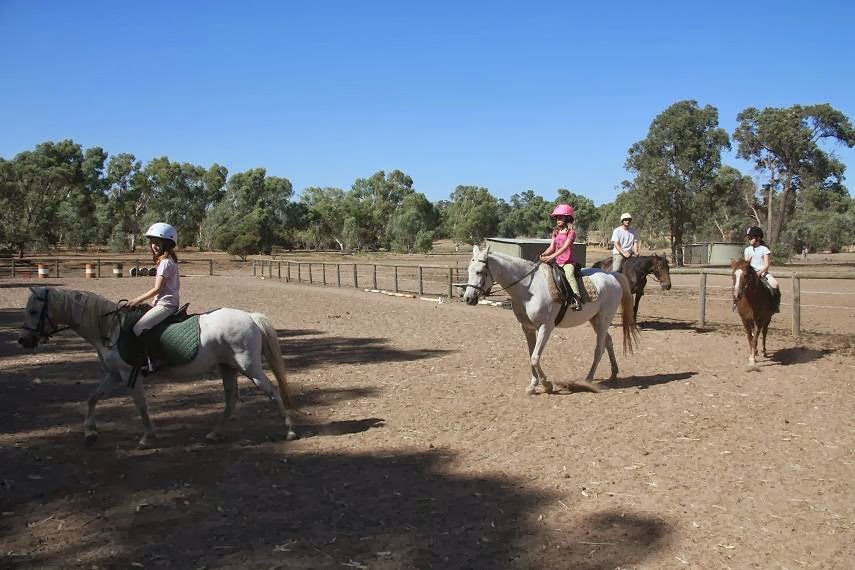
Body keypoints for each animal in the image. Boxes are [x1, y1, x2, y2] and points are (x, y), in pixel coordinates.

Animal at [17, 286, 298, 446]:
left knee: (272, 391)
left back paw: (289, 431)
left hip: (250, 367)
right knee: (231, 400)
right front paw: (90, 432)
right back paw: (214, 434)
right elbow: (92, 398)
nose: (23, 341)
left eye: (33, 311)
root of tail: (250, 316)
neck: (110, 330)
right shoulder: (113, 374)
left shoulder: (129, 375)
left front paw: (146, 437)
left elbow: (141, 405)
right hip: (227, 367)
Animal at [464, 244, 640, 394]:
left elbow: (535, 357)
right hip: (595, 320)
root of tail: (612, 276)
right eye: (469, 270)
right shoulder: (527, 328)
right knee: (608, 342)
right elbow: (531, 355)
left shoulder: (546, 327)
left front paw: (546, 385)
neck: (529, 289)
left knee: (599, 348)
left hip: (604, 319)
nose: (468, 298)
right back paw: (613, 374)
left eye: (479, 271)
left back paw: (588, 380)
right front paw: (532, 385)